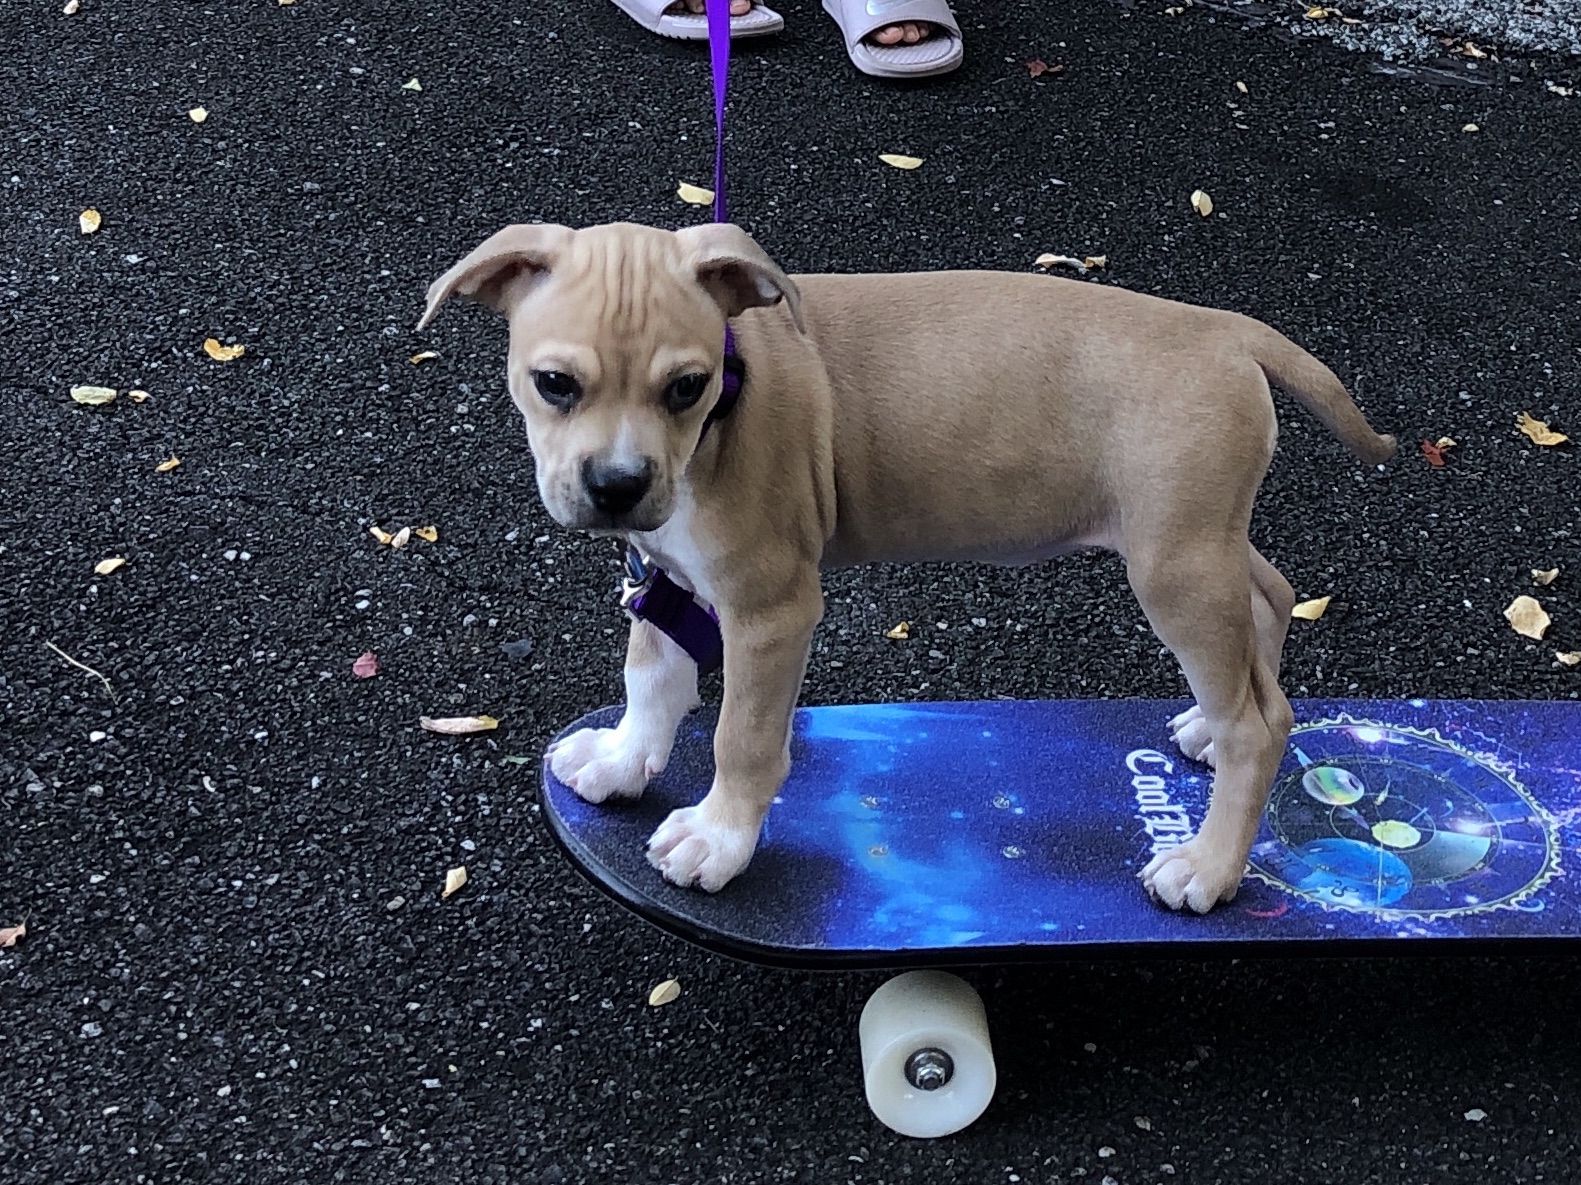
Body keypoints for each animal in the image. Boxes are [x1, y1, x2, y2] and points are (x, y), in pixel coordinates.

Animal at [420, 222, 1397, 916]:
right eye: (554, 383)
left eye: (684, 387)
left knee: (1258, 723)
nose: (618, 486)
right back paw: (1203, 726)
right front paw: (625, 760)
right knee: (1268, 604)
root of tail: (1219, 330)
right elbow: (651, 678)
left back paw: (1207, 865)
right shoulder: (665, 574)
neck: (727, 407)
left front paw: (720, 838)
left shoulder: (770, 609)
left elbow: (742, 736)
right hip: (1197, 539)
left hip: (1174, 564)